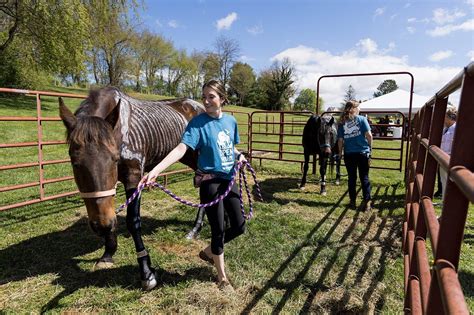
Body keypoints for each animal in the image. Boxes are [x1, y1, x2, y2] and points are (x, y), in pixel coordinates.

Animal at [59, 86, 204, 292]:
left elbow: (133, 221)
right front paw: (108, 253)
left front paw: (146, 272)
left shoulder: (134, 178)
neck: (120, 131)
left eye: (114, 159)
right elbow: (110, 210)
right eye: (75, 163)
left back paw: (196, 229)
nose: (101, 226)